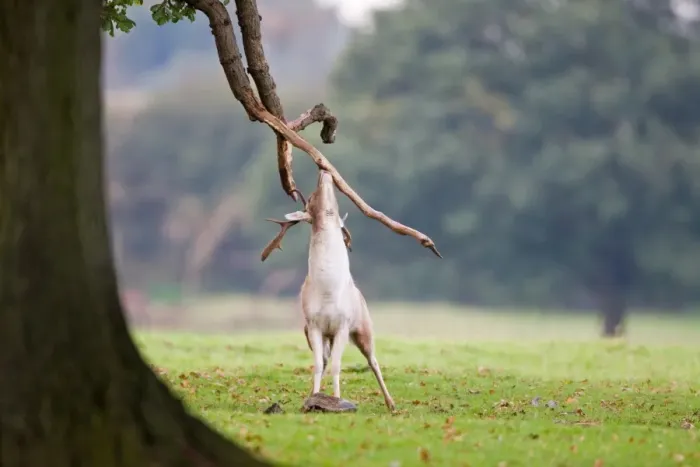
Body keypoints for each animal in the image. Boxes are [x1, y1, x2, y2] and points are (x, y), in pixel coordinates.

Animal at [261, 169, 396, 412]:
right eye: (311, 199)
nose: (324, 171)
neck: (328, 290)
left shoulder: (343, 325)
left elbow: (337, 365)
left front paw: (338, 400)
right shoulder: (314, 326)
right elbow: (317, 364)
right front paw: (314, 400)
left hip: (364, 328)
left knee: (372, 360)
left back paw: (391, 404)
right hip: (318, 334)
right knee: (325, 360)